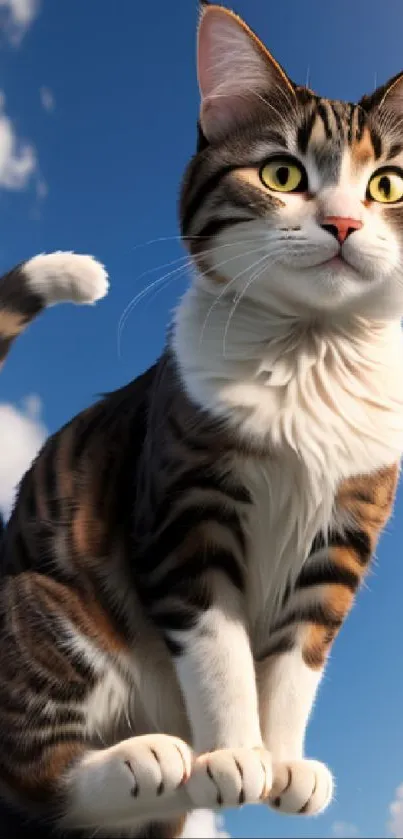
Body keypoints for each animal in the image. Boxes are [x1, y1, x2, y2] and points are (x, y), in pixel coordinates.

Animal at [0, 3, 403, 836]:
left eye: (386, 183)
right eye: (281, 173)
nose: (345, 223)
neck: (308, 355)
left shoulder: (345, 529)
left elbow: (297, 657)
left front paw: (281, 760)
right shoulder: (185, 509)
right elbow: (219, 648)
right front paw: (239, 751)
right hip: (44, 606)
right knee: (33, 771)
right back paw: (152, 759)